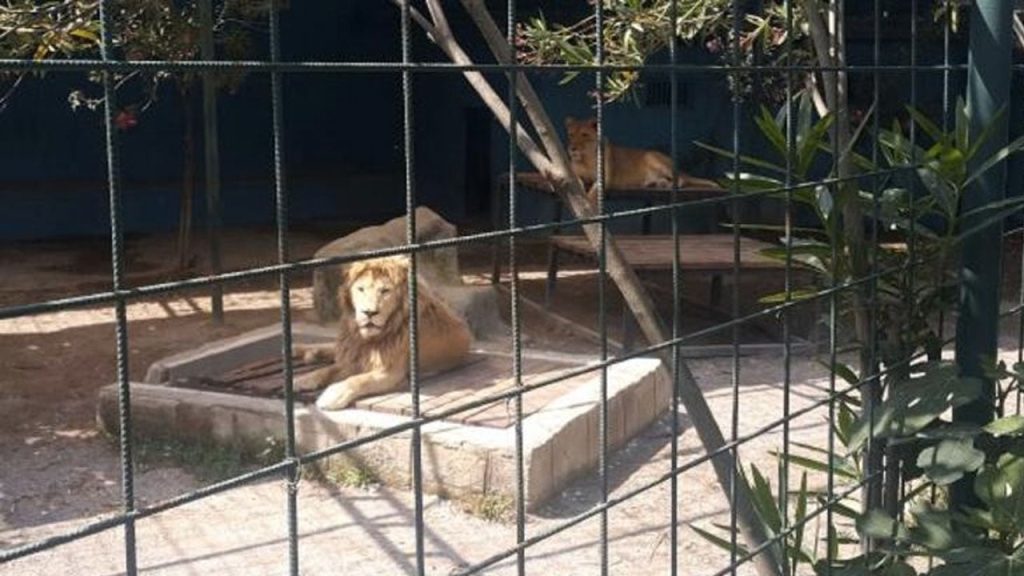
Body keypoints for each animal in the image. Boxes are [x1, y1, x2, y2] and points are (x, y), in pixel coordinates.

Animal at [296, 254, 471, 407]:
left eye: (385, 291)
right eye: (361, 289)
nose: (369, 313)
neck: (369, 339)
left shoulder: (390, 373)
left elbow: (358, 380)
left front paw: (333, 395)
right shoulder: (354, 357)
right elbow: (327, 370)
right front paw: (303, 380)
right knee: (332, 348)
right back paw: (304, 351)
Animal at [569, 114, 720, 201]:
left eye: (584, 135)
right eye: (571, 135)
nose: (572, 148)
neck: (585, 158)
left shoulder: (605, 178)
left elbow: (594, 191)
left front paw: (588, 204)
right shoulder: (573, 173)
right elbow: (577, 182)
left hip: (652, 157)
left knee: (681, 179)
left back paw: (668, 185)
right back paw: (656, 184)